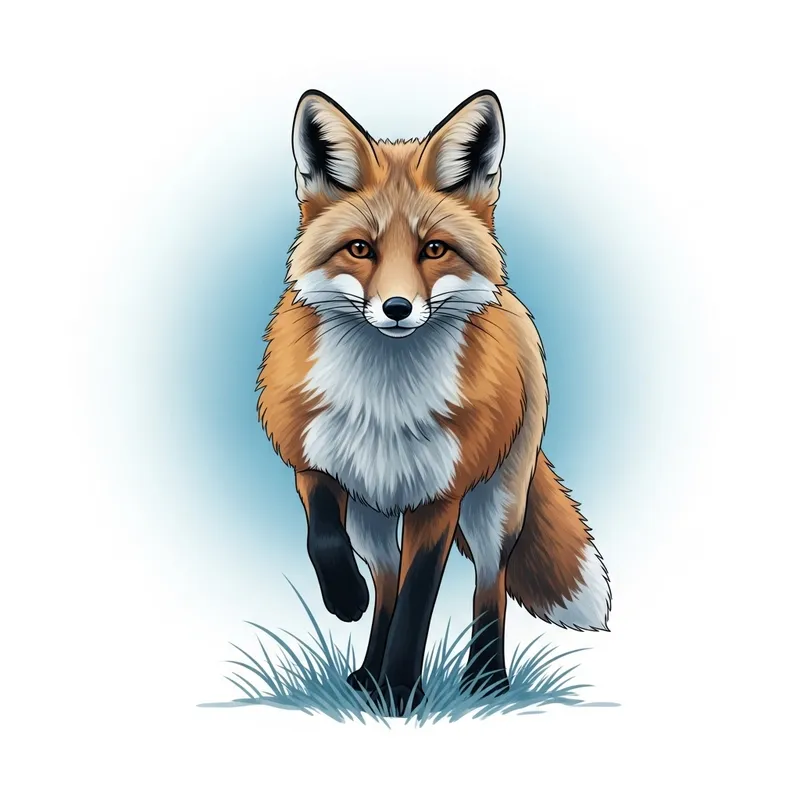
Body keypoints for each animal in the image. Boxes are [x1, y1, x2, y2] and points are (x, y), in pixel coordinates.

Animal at [256, 89, 611, 715]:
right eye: (360, 249)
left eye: (434, 249)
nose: (397, 308)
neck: (385, 400)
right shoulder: (312, 459)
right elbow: (325, 539)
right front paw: (345, 601)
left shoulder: (441, 496)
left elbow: (420, 597)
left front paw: (401, 690)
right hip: (371, 515)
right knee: (385, 582)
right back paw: (364, 674)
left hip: (496, 504)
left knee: (489, 585)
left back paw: (485, 680)